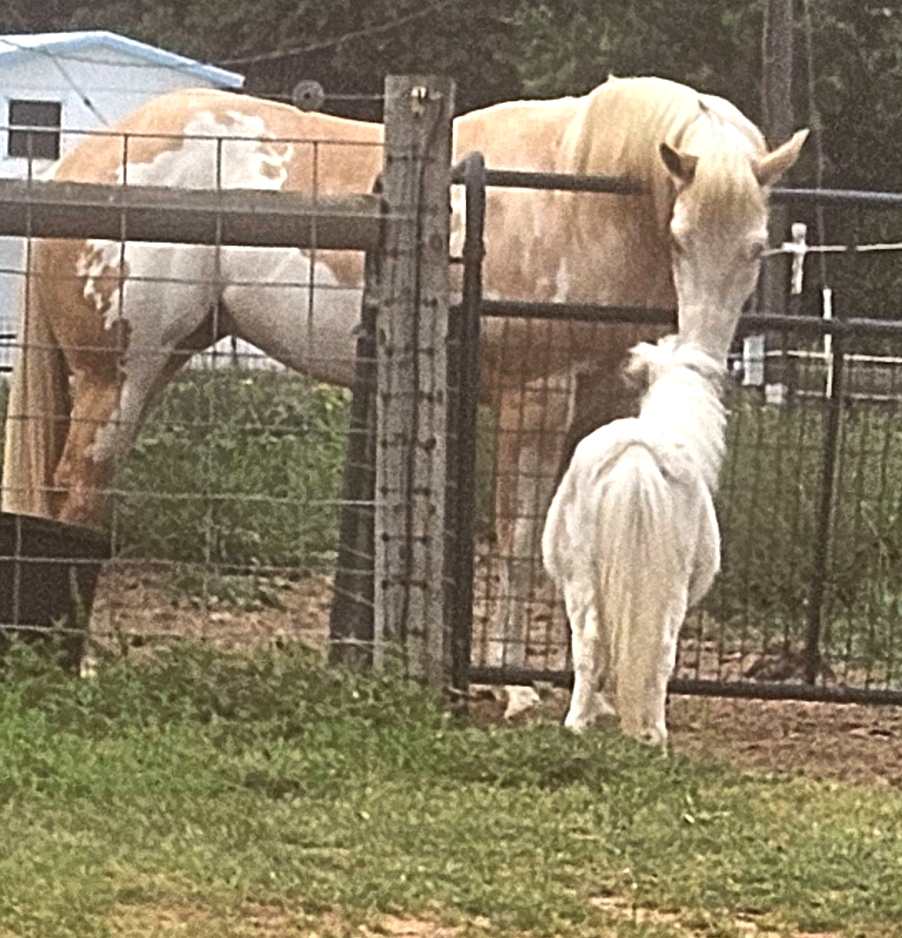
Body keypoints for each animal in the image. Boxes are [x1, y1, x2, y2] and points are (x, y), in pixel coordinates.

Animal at [544, 332, 728, 744]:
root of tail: (639, 455)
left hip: (582, 574)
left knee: (592, 643)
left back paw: (580, 723)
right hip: (669, 582)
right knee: (659, 649)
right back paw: (652, 732)